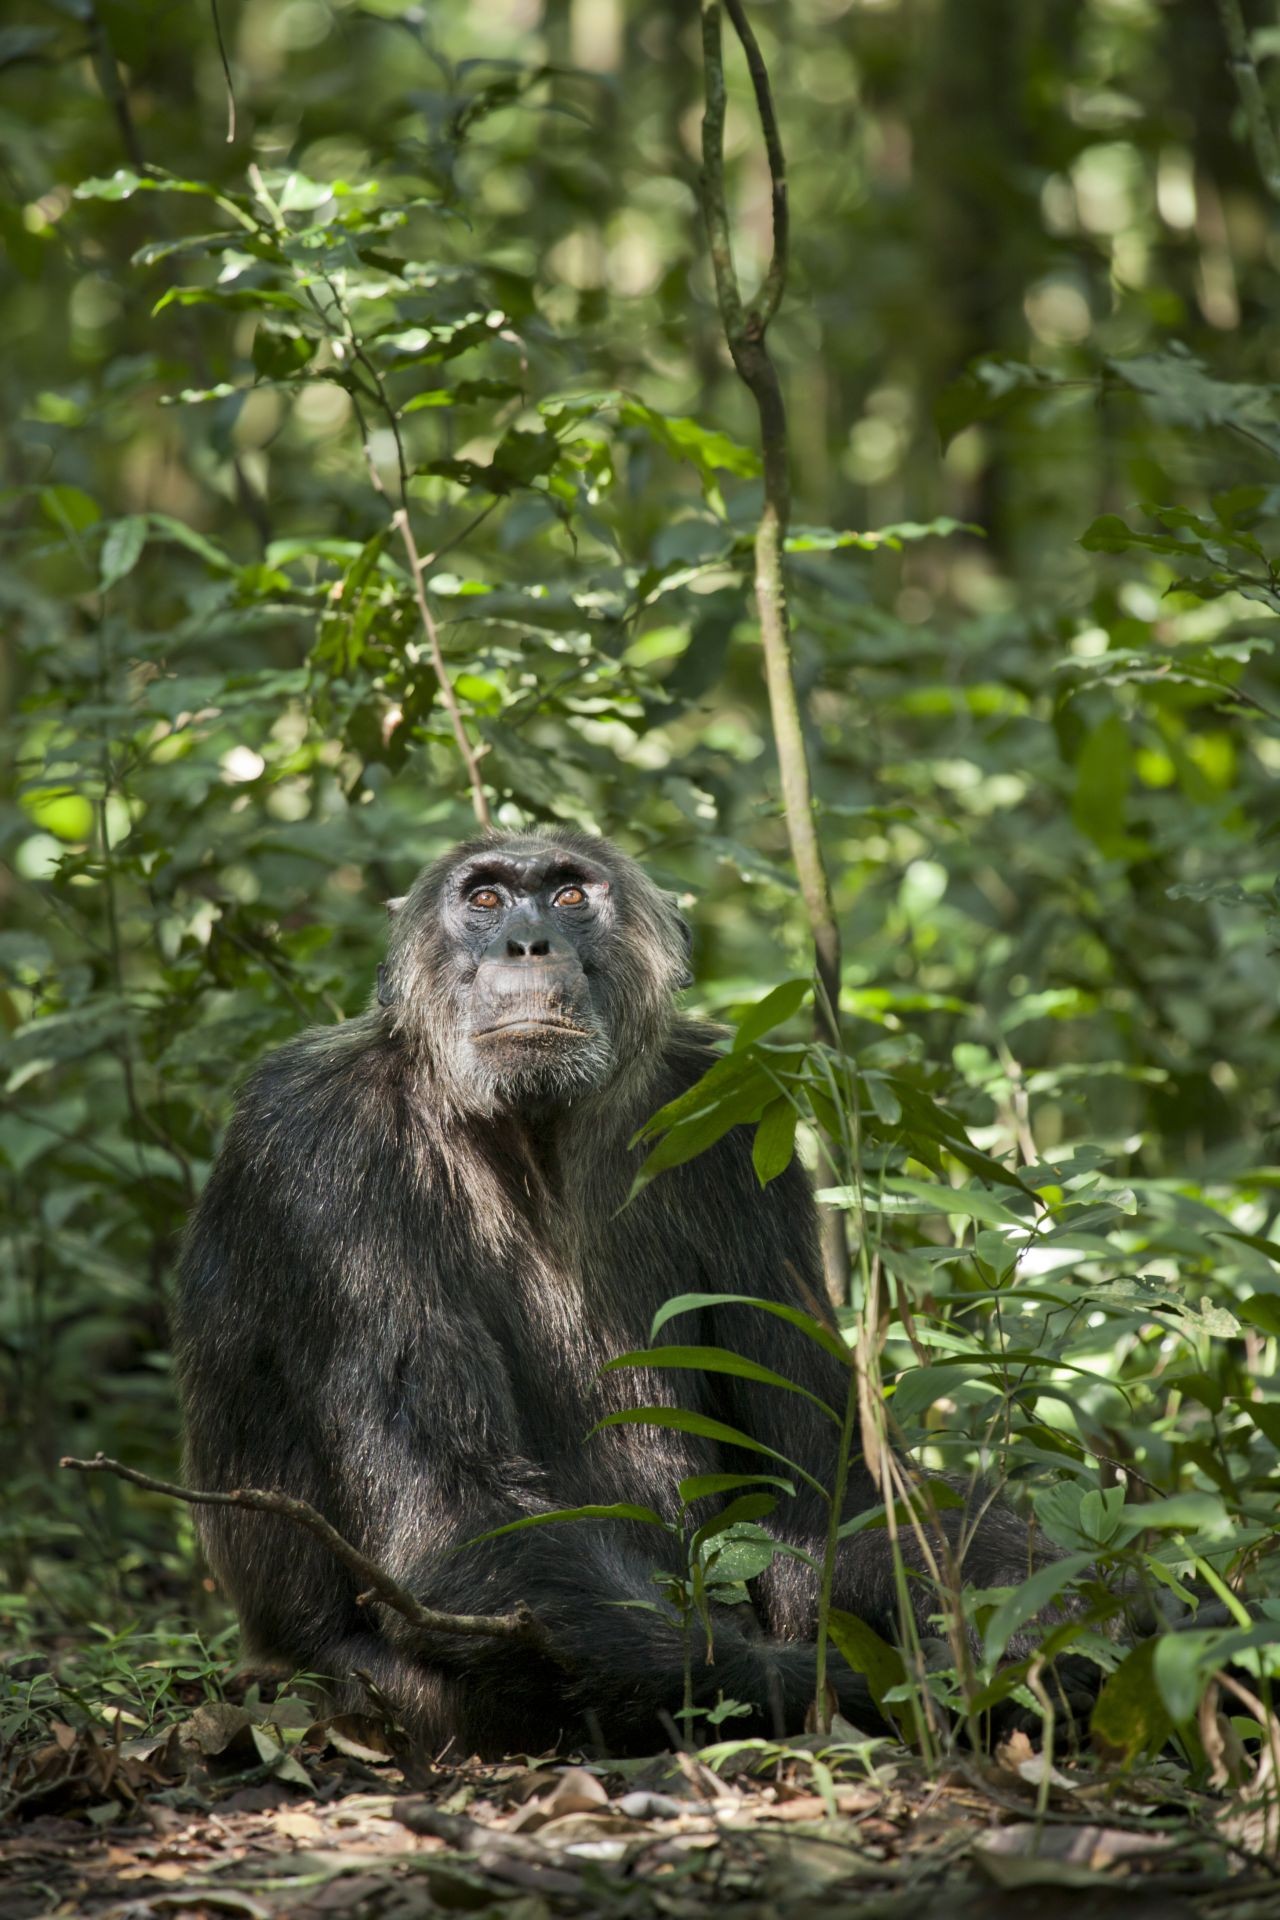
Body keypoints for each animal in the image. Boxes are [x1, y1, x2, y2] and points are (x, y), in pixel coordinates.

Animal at [177, 829, 1059, 1758]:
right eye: (484, 899)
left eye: (570, 896)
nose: (528, 942)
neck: (532, 1136)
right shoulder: (322, 1154)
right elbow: (450, 1519)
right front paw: (880, 1689)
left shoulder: (736, 1122)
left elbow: (822, 1480)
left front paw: (1048, 1609)